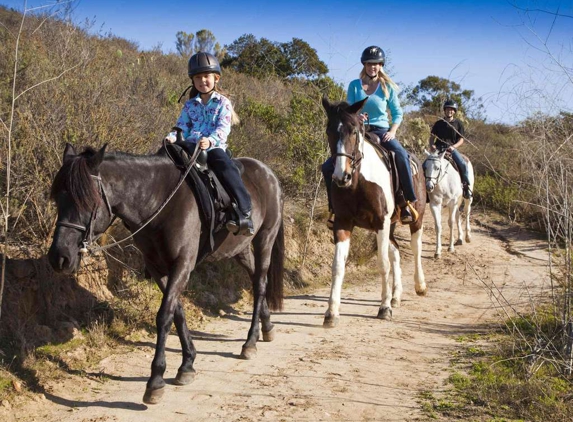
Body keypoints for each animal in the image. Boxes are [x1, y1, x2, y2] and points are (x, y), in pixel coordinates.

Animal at [48, 143, 284, 404]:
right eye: (57, 198)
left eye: (88, 200)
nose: (59, 257)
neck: (160, 202)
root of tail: (268, 173)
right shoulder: (157, 267)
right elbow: (177, 312)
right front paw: (187, 364)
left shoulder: (181, 265)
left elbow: (164, 316)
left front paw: (156, 380)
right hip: (239, 249)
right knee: (255, 279)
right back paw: (267, 327)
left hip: (264, 238)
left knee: (260, 283)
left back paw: (250, 342)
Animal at [322, 96, 424, 326]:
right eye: (329, 131)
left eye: (353, 131)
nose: (341, 176)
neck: (358, 181)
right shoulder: (343, 222)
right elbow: (337, 266)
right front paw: (331, 312)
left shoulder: (380, 222)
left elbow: (383, 263)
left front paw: (384, 308)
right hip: (391, 225)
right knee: (395, 250)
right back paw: (396, 296)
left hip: (415, 218)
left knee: (415, 248)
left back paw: (420, 285)